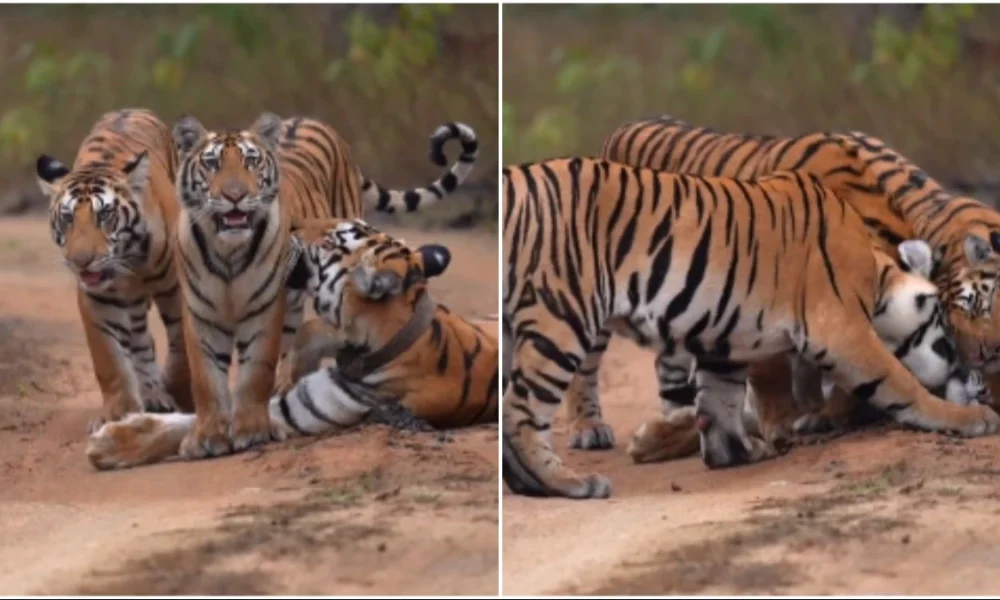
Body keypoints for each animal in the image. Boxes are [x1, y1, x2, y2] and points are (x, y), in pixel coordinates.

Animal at [35, 106, 193, 426]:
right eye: (68, 217)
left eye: (105, 215)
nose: (80, 261)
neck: (126, 261)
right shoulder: (98, 299)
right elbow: (109, 360)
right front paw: (118, 413)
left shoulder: (176, 288)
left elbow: (181, 344)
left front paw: (182, 395)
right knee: (141, 343)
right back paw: (152, 395)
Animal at [167, 113, 476, 460]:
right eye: (212, 164)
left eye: (251, 162)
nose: (235, 196)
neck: (228, 252)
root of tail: (309, 120)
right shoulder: (200, 314)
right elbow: (206, 378)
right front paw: (206, 438)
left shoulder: (265, 312)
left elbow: (255, 373)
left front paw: (251, 431)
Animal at [504, 157, 1000, 500]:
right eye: (947, 330)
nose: (971, 372)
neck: (876, 273)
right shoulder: (840, 330)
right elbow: (901, 384)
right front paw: (971, 419)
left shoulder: (721, 342)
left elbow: (718, 405)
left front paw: (738, 453)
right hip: (561, 318)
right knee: (521, 414)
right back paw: (570, 483)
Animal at [556, 113, 1000, 450]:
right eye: (949, 325)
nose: (976, 369)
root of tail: (622, 129)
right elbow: (772, 370)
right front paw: (784, 423)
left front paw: (814, 413)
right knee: (585, 366)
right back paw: (588, 429)